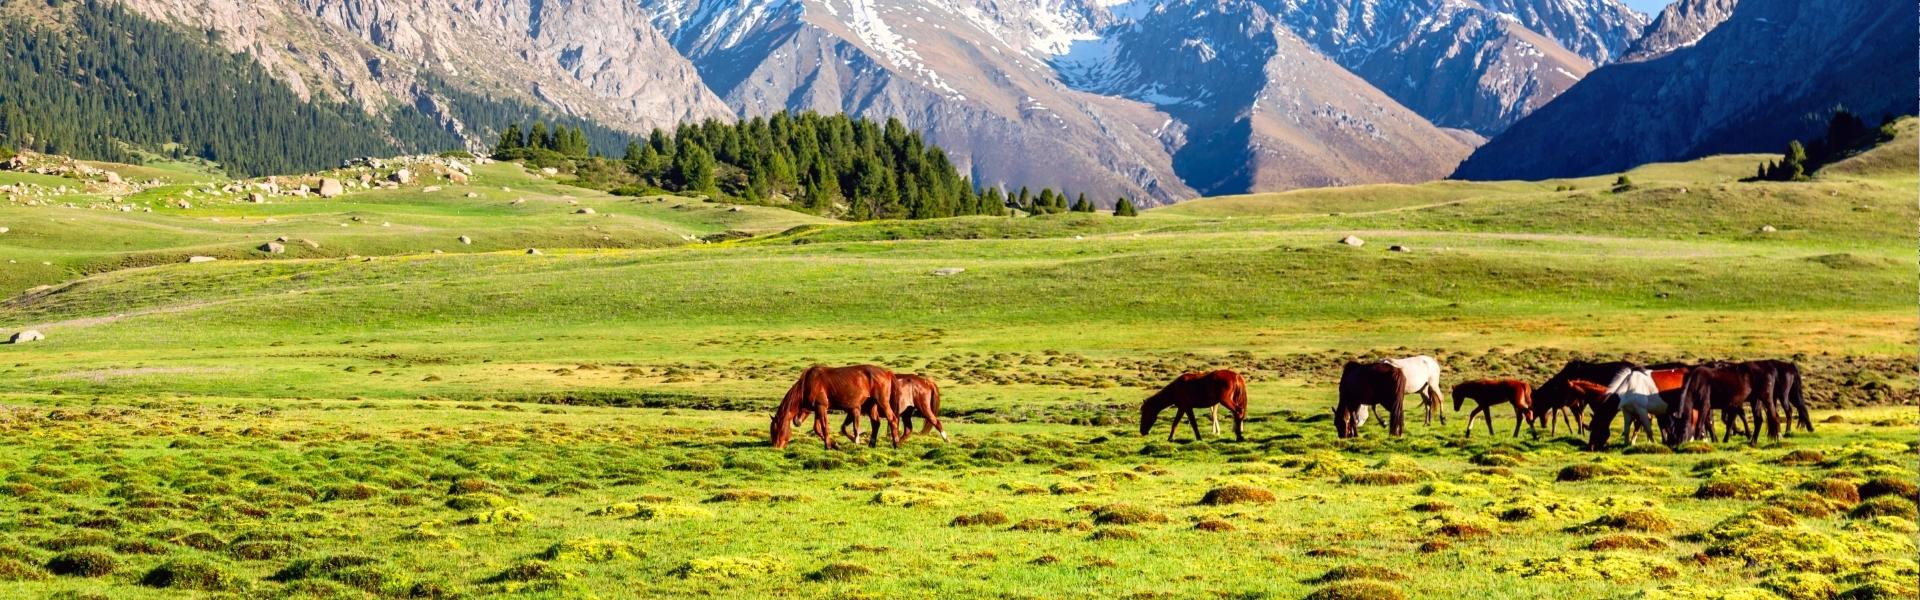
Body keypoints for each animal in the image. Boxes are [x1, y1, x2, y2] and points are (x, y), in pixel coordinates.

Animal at [770, 365, 902, 450]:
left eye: (777, 430)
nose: (776, 447)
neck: (808, 384)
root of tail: (887, 372)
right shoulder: (818, 409)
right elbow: (817, 428)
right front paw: (835, 445)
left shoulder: (821, 407)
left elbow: (824, 427)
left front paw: (828, 446)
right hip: (872, 405)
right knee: (876, 423)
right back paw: (871, 444)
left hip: (882, 402)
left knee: (892, 419)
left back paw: (896, 443)